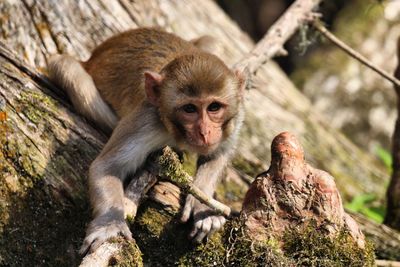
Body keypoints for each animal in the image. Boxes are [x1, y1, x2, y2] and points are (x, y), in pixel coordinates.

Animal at [48, 27, 245, 255]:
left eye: (214, 107)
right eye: (189, 109)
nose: (205, 132)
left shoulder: (235, 117)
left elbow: (219, 152)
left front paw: (202, 205)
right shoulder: (146, 121)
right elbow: (106, 168)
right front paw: (110, 224)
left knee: (212, 40)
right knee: (66, 66)